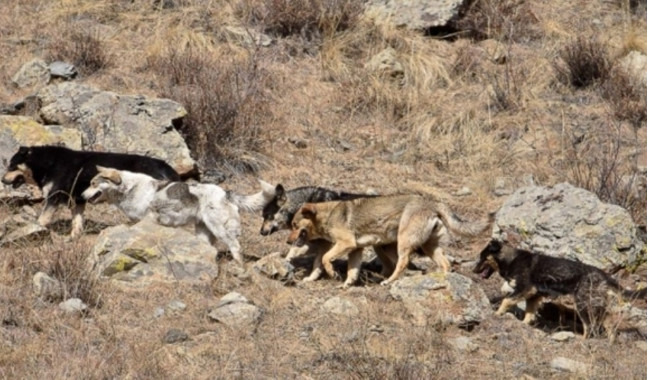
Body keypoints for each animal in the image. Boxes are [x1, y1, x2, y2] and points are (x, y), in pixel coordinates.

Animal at [1, 145, 178, 238]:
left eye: (12, 166)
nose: (2, 180)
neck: (47, 164)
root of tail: (166, 167)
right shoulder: (78, 201)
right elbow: (77, 222)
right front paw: (73, 237)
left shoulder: (53, 197)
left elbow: (42, 219)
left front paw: (35, 229)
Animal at [82, 168, 274, 266]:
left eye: (93, 183)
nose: (82, 196)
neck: (129, 188)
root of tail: (225, 193)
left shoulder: (148, 219)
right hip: (203, 233)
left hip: (220, 229)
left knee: (236, 247)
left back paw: (239, 267)